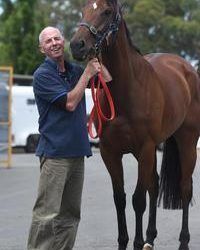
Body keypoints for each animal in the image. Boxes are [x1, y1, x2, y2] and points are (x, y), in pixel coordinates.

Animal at [69, 0, 200, 249]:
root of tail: (186, 68)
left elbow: (138, 199)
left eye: (107, 11)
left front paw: (137, 243)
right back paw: (150, 238)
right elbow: (119, 199)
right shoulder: (110, 152)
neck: (126, 89)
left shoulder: (145, 148)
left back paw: (183, 241)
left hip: (186, 141)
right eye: (83, 10)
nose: (76, 45)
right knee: (155, 186)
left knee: (185, 188)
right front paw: (125, 241)